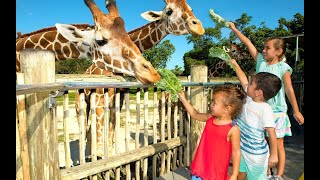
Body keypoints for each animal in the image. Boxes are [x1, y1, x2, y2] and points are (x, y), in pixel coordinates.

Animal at [75, 0, 205, 156]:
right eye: (169, 11)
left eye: (191, 8)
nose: (199, 27)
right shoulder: (100, 100)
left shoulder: (116, 102)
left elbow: (111, 136)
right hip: (81, 103)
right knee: (85, 130)